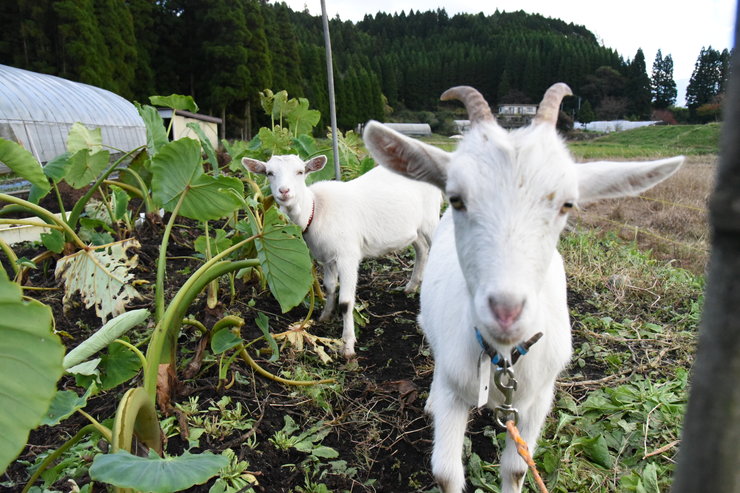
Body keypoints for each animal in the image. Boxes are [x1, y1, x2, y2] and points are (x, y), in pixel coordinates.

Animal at [243, 154, 442, 358]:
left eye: (300, 171)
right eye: (269, 173)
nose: (284, 191)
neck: (315, 210)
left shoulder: (347, 256)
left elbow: (346, 302)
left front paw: (347, 346)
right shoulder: (325, 256)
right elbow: (329, 287)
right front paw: (325, 316)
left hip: (431, 218)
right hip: (413, 227)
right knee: (421, 248)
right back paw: (411, 286)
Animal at [362, 84, 684, 492]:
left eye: (567, 203)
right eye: (457, 198)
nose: (506, 311)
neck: (502, 358)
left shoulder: (538, 396)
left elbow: (517, 467)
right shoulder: (456, 387)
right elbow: (446, 472)